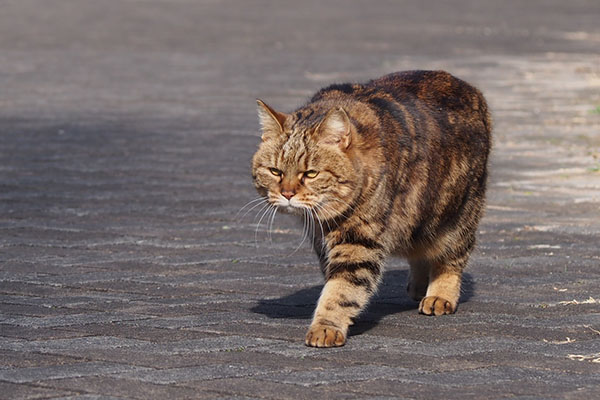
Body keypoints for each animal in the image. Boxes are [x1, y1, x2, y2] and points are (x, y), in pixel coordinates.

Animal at [251, 70, 490, 346]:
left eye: (310, 173)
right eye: (275, 171)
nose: (287, 193)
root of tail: (467, 86)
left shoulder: (359, 241)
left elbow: (341, 289)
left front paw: (326, 326)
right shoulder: (322, 240)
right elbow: (337, 282)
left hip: (456, 216)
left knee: (451, 257)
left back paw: (440, 294)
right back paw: (419, 286)